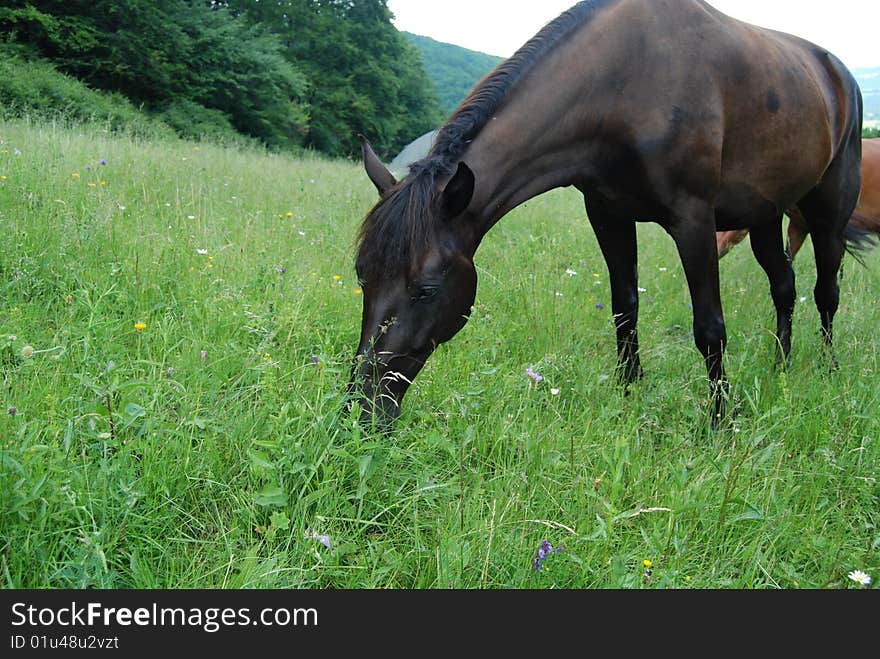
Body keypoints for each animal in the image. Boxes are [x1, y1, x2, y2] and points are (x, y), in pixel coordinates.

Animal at [348, 0, 860, 428]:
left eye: (426, 289)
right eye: (362, 276)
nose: (362, 410)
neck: (624, 82)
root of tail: (837, 74)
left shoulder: (693, 219)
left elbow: (710, 328)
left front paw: (720, 420)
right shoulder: (608, 215)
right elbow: (624, 308)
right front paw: (629, 394)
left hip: (828, 215)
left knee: (825, 293)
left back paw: (828, 369)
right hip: (763, 217)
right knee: (784, 286)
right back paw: (781, 367)